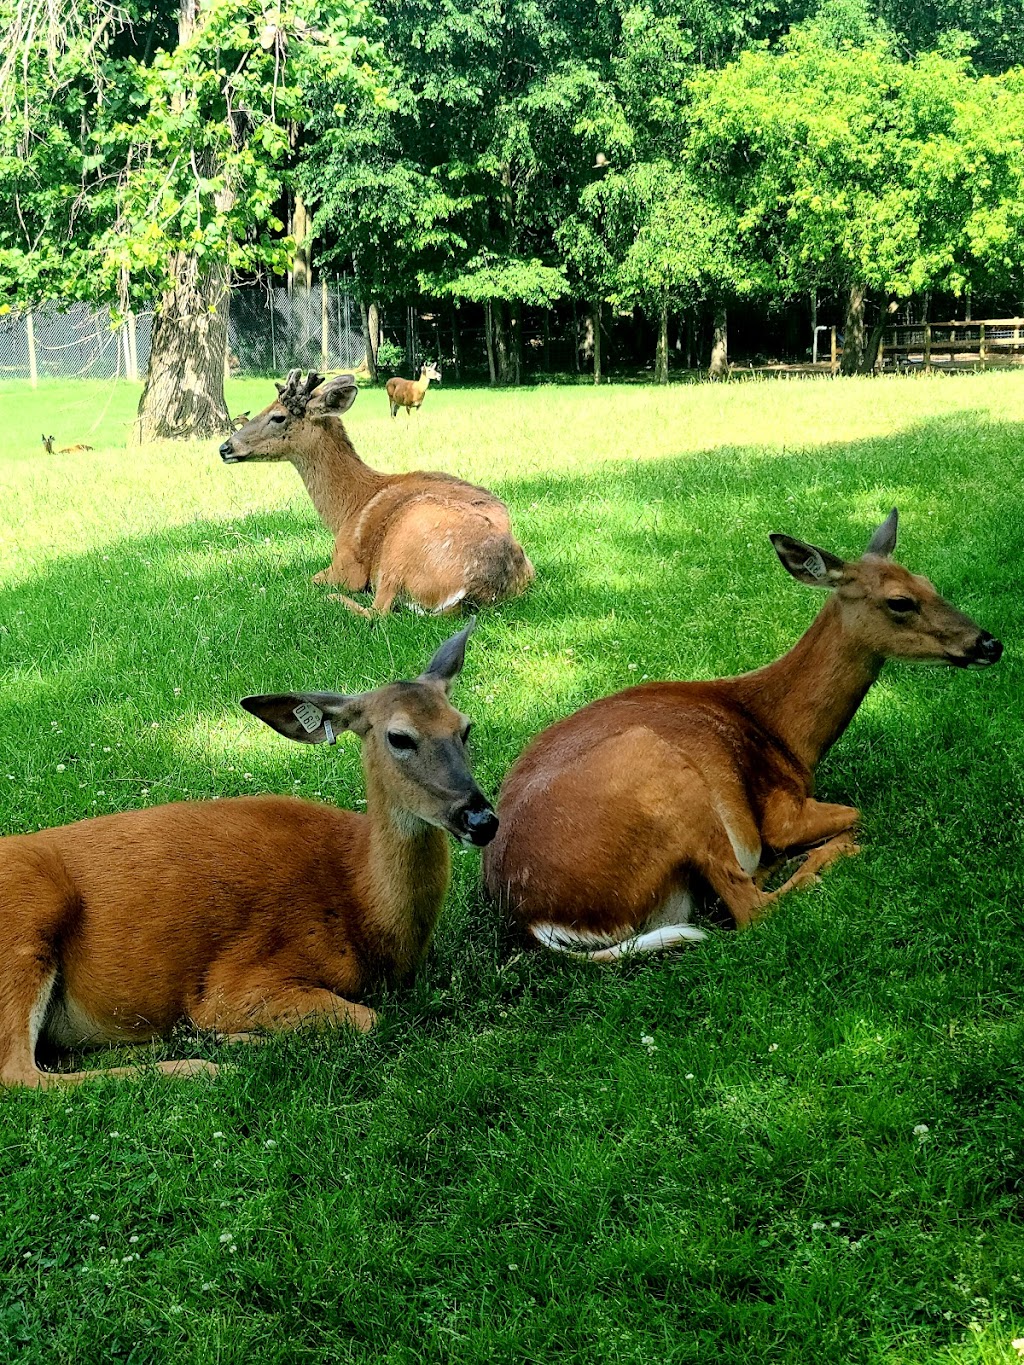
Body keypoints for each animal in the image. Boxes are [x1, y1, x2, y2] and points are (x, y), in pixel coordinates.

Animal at [0, 625, 496, 1092]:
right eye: (399, 737)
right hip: (26, 915)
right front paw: (230, 1038)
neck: (360, 903)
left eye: (465, 728)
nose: (481, 818)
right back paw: (204, 1062)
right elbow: (367, 1018)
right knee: (21, 1074)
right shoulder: (238, 981)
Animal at [218, 365, 537, 616]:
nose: (225, 447)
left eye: (278, 416)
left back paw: (333, 600)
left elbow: (308, 579)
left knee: (377, 611)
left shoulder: (346, 566)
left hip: (402, 542)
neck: (347, 508)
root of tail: (476, 587)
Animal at [486, 510, 1004, 960]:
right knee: (751, 908)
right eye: (900, 601)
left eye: (929, 584)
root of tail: (534, 919)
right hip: (666, 777)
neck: (785, 734)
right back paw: (817, 860)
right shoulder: (780, 811)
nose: (990, 643)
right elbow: (857, 814)